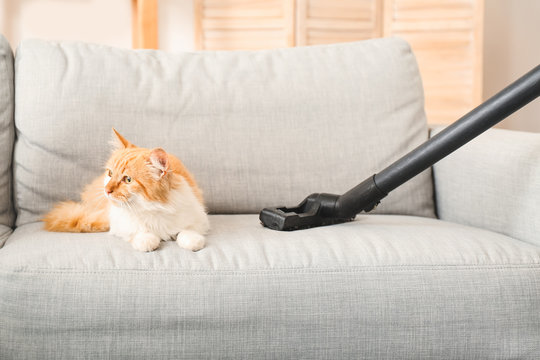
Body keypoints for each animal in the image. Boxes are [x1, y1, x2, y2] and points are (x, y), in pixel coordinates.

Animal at [43, 128, 209, 252]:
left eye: (128, 180)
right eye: (110, 173)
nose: (107, 190)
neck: (153, 208)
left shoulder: (199, 216)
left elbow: (187, 231)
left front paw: (192, 240)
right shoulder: (119, 223)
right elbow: (141, 233)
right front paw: (148, 240)